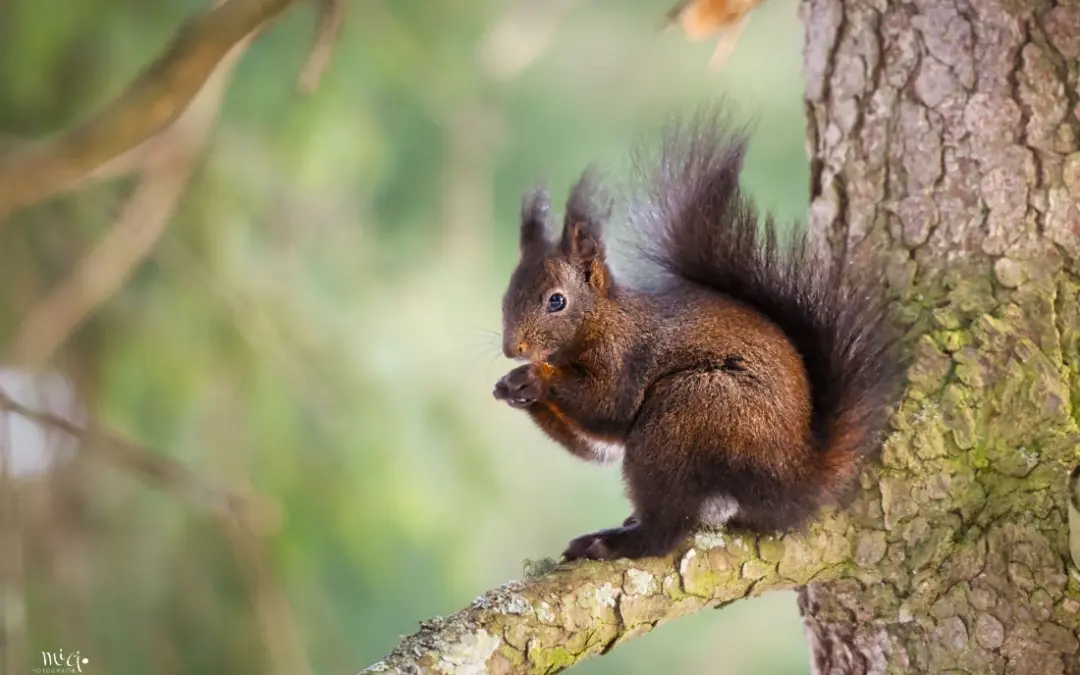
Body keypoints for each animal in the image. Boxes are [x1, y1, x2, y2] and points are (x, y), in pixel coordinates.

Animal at [493, 110, 906, 562]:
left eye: (557, 301)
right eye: (507, 294)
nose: (512, 349)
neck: (602, 320)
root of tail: (793, 477)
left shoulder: (626, 356)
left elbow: (607, 405)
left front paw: (535, 377)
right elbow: (596, 443)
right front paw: (511, 386)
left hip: (689, 414)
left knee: (667, 527)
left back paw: (614, 541)